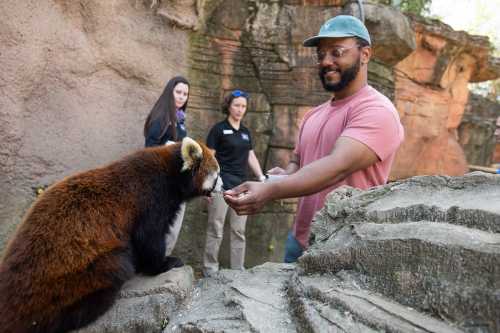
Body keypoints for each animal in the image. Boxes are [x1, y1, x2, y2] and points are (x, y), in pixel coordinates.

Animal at [0, 137, 219, 332]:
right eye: (217, 175)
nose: (223, 186)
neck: (170, 172)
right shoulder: (151, 198)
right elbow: (149, 238)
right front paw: (164, 263)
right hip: (75, 272)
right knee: (116, 267)